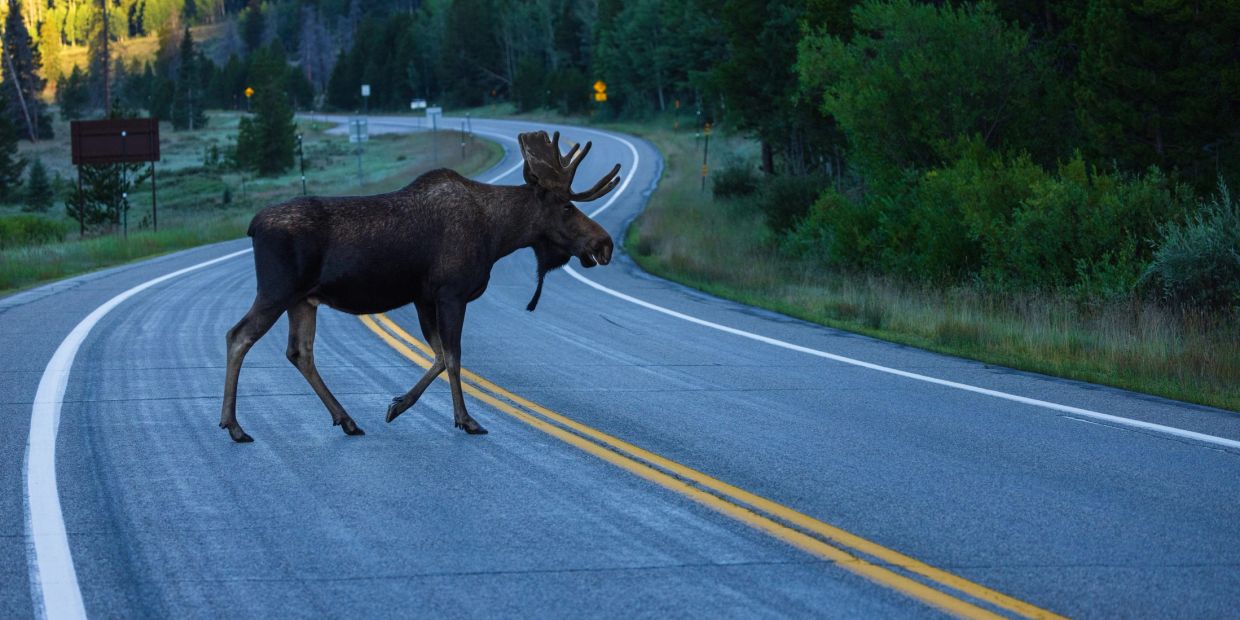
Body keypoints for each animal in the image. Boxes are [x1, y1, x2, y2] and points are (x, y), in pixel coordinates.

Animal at [219, 130, 619, 442]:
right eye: (566, 206)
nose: (605, 244)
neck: (498, 236)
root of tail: (252, 226)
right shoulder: (451, 293)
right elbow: (454, 357)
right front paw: (467, 420)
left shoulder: (424, 297)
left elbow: (439, 355)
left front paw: (398, 405)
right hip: (276, 290)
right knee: (238, 336)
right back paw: (234, 426)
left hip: (303, 299)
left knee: (299, 351)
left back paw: (346, 419)